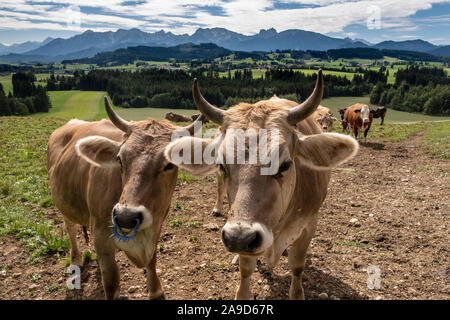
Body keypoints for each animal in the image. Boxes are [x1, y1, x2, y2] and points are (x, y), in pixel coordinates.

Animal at [47, 98, 202, 300]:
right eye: (119, 159)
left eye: (169, 164)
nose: (126, 217)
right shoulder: (101, 234)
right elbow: (111, 281)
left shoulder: (157, 226)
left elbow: (152, 261)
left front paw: (156, 291)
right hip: (64, 204)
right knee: (70, 229)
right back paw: (75, 260)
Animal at [165, 71, 358, 298]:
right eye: (221, 164)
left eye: (285, 164)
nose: (238, 239)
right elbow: (246, 271)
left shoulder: (309, 225)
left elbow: (297, 267)